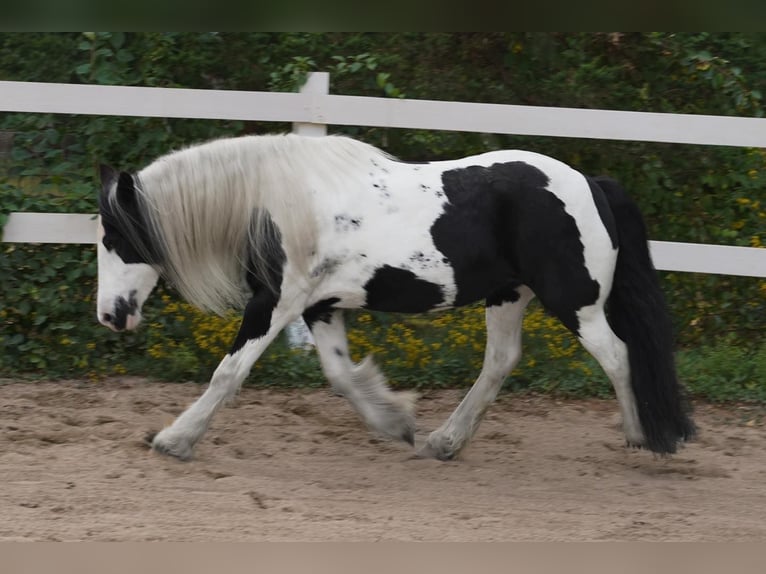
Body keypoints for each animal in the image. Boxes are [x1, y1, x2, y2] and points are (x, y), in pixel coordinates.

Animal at [96, 133, 696, 462]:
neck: (276, 202)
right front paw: (396, 422)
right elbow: (340, 376)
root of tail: (592, 185)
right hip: (508, 296)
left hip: (576, 303)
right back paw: (443, 442)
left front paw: (174, 439)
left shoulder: (276, 302)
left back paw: (642, 436)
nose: (110, 316)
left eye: (112, 236)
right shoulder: (319, 307)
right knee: (501, 361)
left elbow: (228, 372)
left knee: (618, 355)